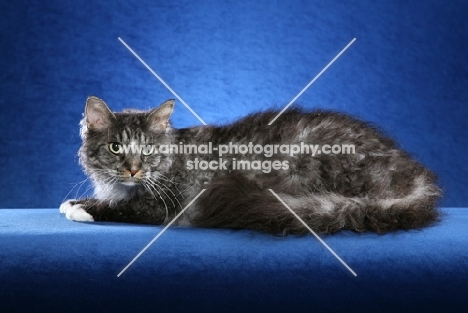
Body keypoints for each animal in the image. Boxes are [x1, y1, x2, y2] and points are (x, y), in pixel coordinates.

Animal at [59, 96, 442, 233]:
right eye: (115, 147)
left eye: (148, 150)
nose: (134, 168)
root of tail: (413, 174)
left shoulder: (165, 205)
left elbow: (123, 207)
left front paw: (81, 207)